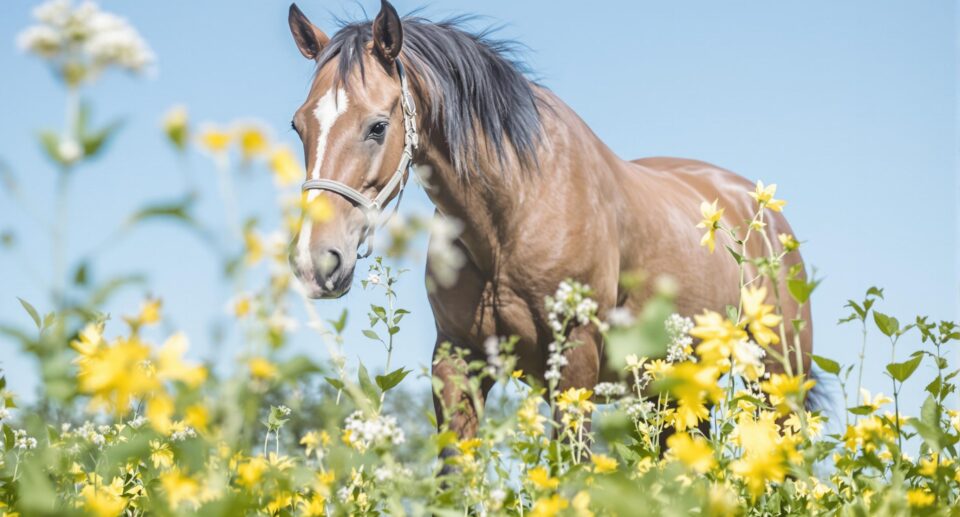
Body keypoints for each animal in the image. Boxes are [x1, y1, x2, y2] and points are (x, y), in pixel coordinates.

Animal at [284, 0, 808, 444]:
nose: (315, 262)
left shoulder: (576, 360)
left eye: (378, 126)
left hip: (775, 381)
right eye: (299, 126)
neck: (512, 215)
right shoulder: (457, 361)